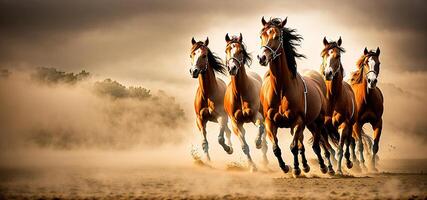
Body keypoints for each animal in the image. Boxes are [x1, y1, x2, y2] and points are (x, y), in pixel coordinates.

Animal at [224, 33, 268, 171]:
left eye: (240, 51)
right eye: (226, 50)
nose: (232, 68)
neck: (240, 93)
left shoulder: (256, 116)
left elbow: (260, 128)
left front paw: (257, 143)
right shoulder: (235, 123)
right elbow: (244, 146)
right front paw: (252, 167)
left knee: (265, 136)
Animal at [258, 18, 332, 176]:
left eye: (277, 36)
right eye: (261, 35)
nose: (262, 58)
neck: (280, 89)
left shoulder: (297, 121)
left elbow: (293, 147)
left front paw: (296, 169)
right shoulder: (270, 122)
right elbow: (276, 148)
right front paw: (285, 167)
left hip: (317, 121)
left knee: (318, 144)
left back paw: (325, 167)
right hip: (309, 123)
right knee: (306, 144)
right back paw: (307, 166)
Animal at [320, 36, 358, 174]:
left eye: (338, 56)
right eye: (323, 55)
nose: (328, 73)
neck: (332, 100)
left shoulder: (344, 125)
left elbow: (340, 149)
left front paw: (339, 170)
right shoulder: (323, 128)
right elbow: (328, 150)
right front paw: (330, 169)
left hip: (350, 125)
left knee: (349, 142)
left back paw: (350, 163)